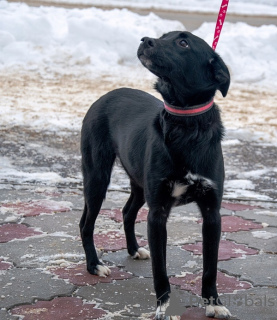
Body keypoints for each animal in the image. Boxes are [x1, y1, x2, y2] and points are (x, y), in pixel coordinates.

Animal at [79, 30, 231, 320]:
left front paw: (213, 303)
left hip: (139, 184)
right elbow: (160, 270)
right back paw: (94, 265)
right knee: (86, 223)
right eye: (163, 36)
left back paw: (133, 249)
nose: (145, 40)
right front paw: (162, 308)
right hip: (97, 177)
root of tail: (107, 95)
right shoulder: (158, 212)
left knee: (127, 212)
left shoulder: (212, 213)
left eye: (183, 43)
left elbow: (210, 266)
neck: (187, 126)